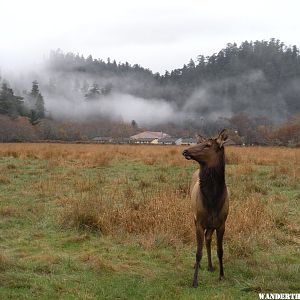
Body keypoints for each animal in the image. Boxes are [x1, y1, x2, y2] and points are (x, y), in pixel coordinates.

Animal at [182, 129, 229, 288]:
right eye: (199, 142)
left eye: (208, 145)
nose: (185, 150)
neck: (213, 201)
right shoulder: (199, 222)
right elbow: (198, 252)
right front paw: (194, 281)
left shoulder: (222, 224)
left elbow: (220, 250)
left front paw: (222, 276)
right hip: (194, 216)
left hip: (212, 224)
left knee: (208, 239)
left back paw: (210, 265)